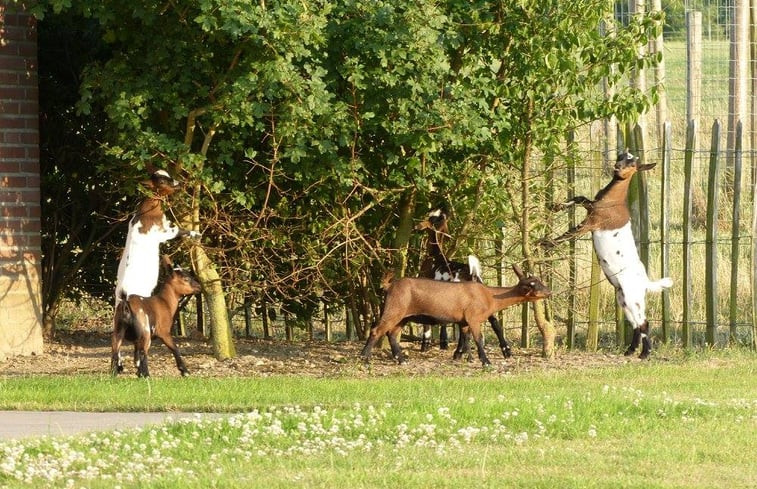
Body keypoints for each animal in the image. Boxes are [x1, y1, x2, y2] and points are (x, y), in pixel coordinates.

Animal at [113, 168, 199, 304]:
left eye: (168, 175)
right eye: (162, 182)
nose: (178, 183)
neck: (147, 212)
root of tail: (123, 293)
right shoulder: (163, 232)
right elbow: (178, 230)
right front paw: (195, 234)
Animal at [360, 264, 548, 364]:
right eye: (535, 284)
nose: (550, 292)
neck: (489, 295)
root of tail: (389, 286)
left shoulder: (464, 321)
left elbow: (466, 337)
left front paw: (463, 357)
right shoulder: (473, 318)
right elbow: (478, 339)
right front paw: (486, 362)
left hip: (404, 316)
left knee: (392, 333)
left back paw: (401, 359)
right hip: (394, 309)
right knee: (377, 330)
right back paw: (365, 358)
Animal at [414, 210, 512, 358]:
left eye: (431, 218)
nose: (417, 226)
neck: (435, 256)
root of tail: (473, 274)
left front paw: (425, 345)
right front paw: (442, 343)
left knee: (464, 327)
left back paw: (458, 353)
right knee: (494, 322)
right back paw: (506, 351)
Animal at [544, 152, 672, 358]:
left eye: (633, 163)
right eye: (622, 155)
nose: (618, 167)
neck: (614, 200)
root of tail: (645, 282)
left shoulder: (591, 223)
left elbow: (568, 234)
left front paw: (544, 243)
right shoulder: (591, 207)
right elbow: (580, 198)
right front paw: (556, 206)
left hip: (632, 298)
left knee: (644, 323)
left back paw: (645, 354)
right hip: (623, 299)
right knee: (636, 325)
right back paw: (630, 351)